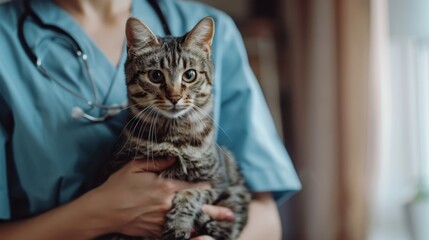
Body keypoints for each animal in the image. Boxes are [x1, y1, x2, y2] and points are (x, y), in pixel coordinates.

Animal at [100, 17, 251, 240]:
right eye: (155, 75)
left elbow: (192, 193)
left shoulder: (217, 181)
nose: (174, 97)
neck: (173, 136)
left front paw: (179, 221)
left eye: (190, 75)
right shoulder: (113, 168)